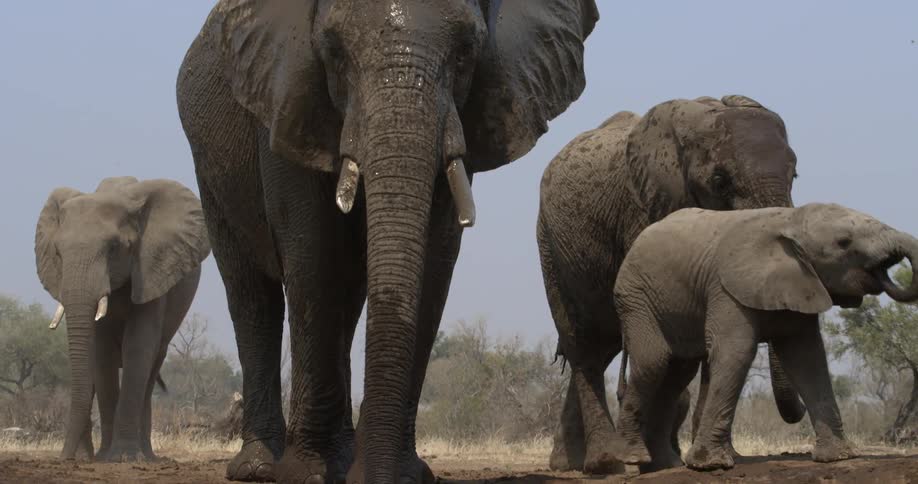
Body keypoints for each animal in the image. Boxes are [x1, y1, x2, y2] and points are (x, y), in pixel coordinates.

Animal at [34, 176, 211, 461]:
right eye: (58, 253)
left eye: (114, 248)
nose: (63, 459)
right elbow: (102, 352)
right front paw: (104, 457)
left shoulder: (151, 269)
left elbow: (137, 346)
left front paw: (122, 457)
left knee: (151, 370)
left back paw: (146, 456)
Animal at [175, 0, 599, 482]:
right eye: (334, 52)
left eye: (466, 52)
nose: (370, 476)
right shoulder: (288, 99)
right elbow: (312, 251)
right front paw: (306, 474)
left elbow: (435, 258)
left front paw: (404, 475)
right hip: (209, 169)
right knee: (252, 296)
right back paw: (259, 468)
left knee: (347, 300)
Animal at [537, 95, 804, 473]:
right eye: (720, 180)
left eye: (794, 174)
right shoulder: (646, 211)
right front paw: (660, 462)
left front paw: (690, 461)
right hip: (550, 246)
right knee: (583, 344)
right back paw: (605, 463)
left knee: (603, 346)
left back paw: (568, 464)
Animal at [611, 203, 918, 471]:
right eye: (844, 242)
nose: (886, 272)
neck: (791, 220)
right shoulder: (726, 288)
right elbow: (737, 351)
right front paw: (710, 466)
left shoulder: (801, 282)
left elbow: (806, 357)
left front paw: (838, 458)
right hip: (636, 297)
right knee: (654, 361)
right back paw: (635, 457)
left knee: (677, 372)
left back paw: (668, 465)